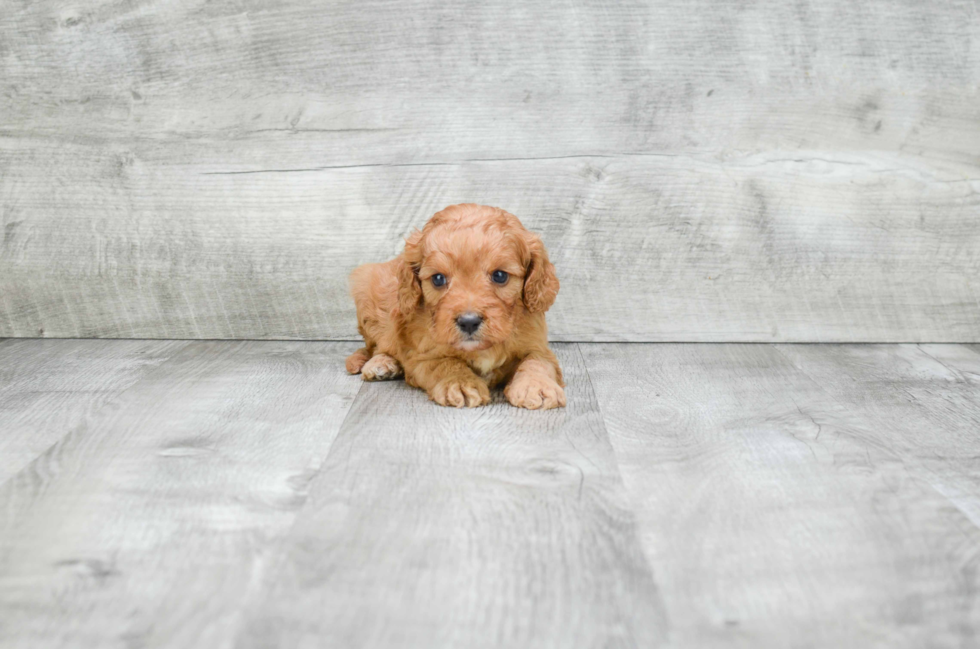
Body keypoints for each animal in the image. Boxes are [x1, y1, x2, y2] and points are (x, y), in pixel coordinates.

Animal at [344, 202, 564, 408]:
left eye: (500, 275)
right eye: (438, 279)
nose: (469, 322)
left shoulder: (537, 343)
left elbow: (538, 361)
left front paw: (536, 386)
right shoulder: (422, 355)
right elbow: (445, 362)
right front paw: (459, 383)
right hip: (368, 293)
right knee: (376, 346)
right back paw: (381, 363)